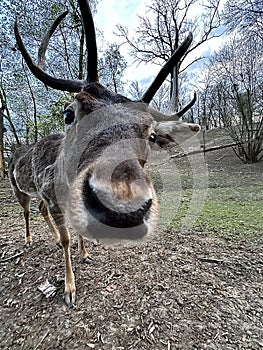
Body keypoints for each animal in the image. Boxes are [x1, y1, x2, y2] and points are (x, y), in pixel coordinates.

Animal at [9, 0, 201, 306]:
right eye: (69, 113)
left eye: (150, 134)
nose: (122, 206)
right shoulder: (51, 194)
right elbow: (67, 237)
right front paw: (69, 289)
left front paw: (86, 254)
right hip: (18, 187)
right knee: (27, 210)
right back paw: (29, 239)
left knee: (39, 209)